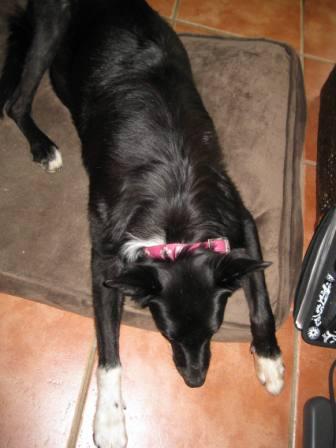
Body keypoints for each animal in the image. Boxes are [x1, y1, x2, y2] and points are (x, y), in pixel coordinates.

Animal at [0, 1, 284, 446]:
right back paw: (43, 146)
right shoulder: (105, 259)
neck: (175, 223)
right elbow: (108, 351)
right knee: (15, 102)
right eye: (168, 335)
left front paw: (269, 358)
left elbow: (261, 297)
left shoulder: (241, 220)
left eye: (214, 331)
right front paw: (108, 418)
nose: (196, 382)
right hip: (48, 29)